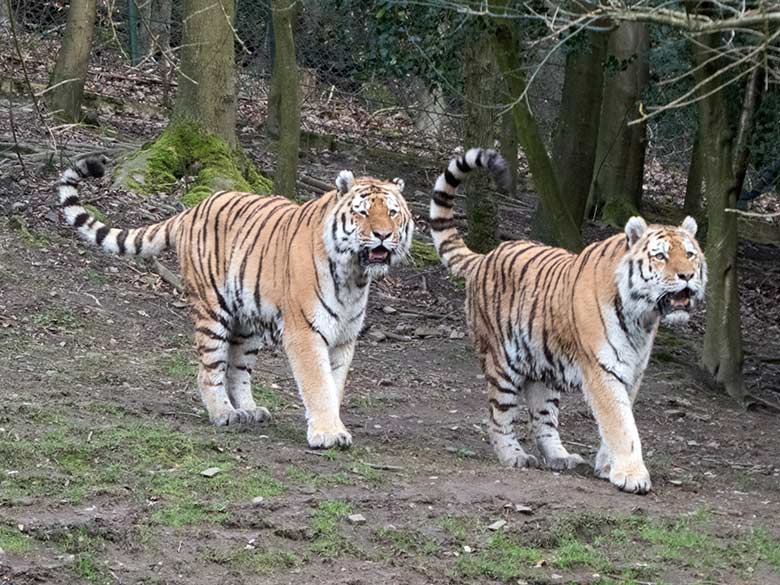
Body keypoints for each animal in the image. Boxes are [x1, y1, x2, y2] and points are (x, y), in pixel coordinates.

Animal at [58, 155, 414, 448]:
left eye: (392, 213)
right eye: (362, 212)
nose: (383, 235)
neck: (354, 275)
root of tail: (191, 210)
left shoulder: (344, 338)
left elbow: (334, 385)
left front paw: (332, 426)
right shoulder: (305, 333)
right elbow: (318, 385)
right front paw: (327, 434)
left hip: (249, 323)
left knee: (236, 370)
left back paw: (249, 410)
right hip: (212, 312)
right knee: (209, 370)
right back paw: (223, 414)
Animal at [430, 147, 708, 492]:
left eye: (690, 254)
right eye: (661, 256)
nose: (687, 276)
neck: (642, 318)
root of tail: (486, 256)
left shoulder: (633, 372)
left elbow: (619, 420)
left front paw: (608, 467)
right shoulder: (603, 369)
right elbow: (620, 424)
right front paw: (632, 475)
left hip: (542, 367)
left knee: (543, 418)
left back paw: (560, 457)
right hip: (502, 363)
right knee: (498, 415)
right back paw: (514, 456)